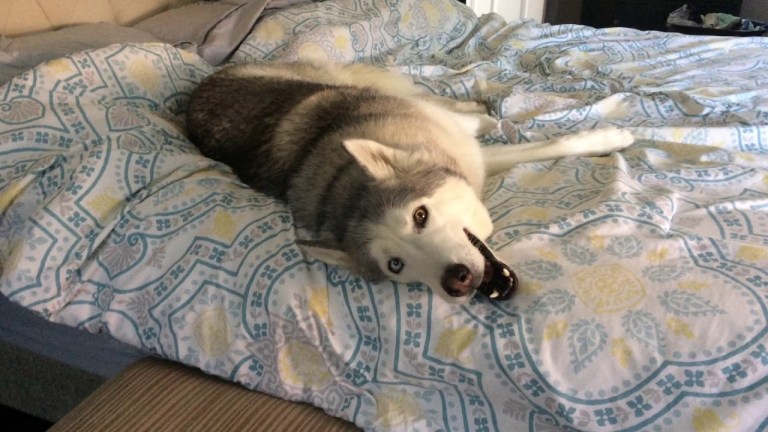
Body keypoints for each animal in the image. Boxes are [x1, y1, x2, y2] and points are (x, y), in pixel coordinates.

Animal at [184, 60, 632, 304]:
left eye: (419, 215)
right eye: (395, 265)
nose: (456, 280)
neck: (343, 187)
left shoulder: (465, 155)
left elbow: (554, 143)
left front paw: (611, 138)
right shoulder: (473, 162)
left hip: (349, 81)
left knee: (426, 96)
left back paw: (478, 111)